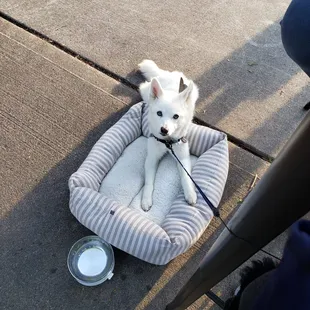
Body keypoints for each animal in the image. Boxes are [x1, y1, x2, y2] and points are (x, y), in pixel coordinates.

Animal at [138, 60, 199, 211]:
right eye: (159, 113)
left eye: (175, 116)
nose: (164, 130)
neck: (167, 142)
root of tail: (168, 74)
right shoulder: (152, 158)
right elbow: (148, 182)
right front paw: (146, 199)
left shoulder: (182, 157)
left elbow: (186, 177)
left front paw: (190, 193)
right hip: (145, 91)